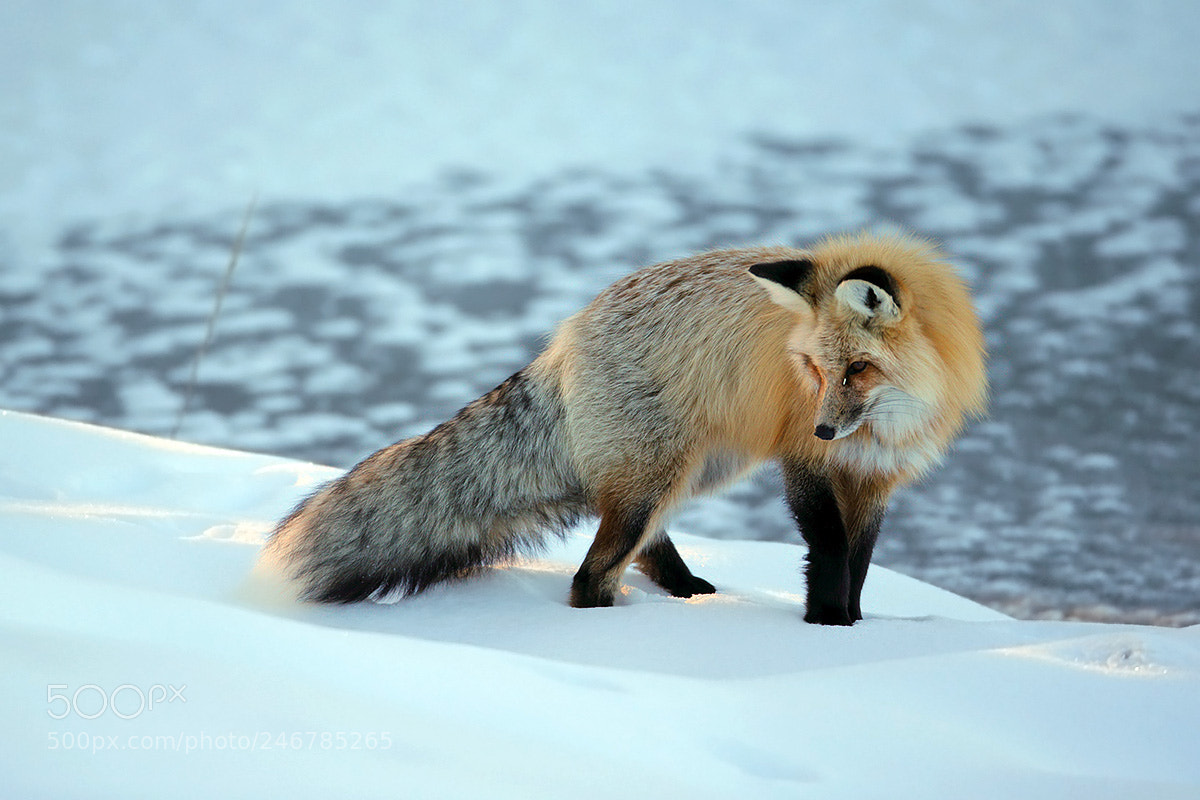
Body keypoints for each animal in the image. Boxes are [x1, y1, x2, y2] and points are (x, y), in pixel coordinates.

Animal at [262, 230, 987, 625]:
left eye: (859, 368)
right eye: (812, 367)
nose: (825, 430)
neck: (885, 425)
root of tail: (567, 333)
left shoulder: (875, 479)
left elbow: (861, 561)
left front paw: (856, 624)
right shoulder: (804, 465)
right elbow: (831, 551)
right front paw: (826, 625)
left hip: (697, 469)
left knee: (640, 545)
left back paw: (684, 591)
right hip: (660, 475)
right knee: (592, 576)